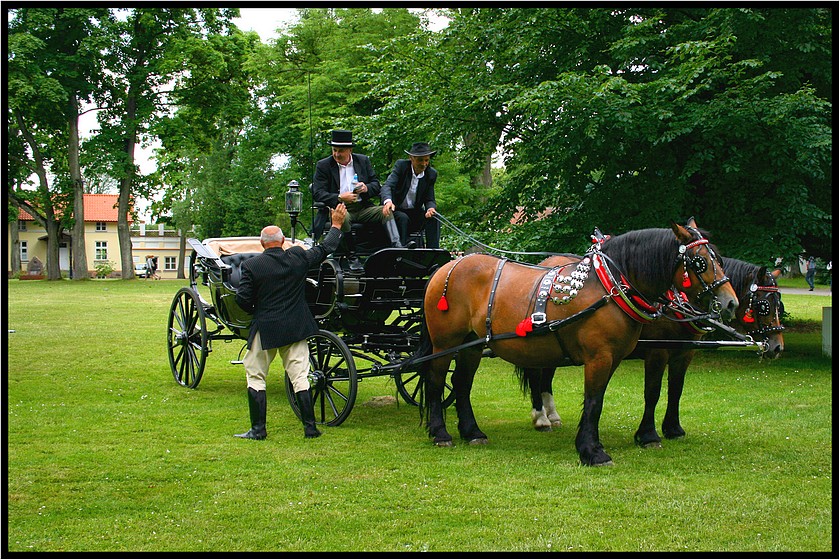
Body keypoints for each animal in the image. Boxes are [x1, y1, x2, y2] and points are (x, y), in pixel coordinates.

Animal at [416, 221, 740, 466]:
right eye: (699, 262)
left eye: (719, 258)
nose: (730, 302)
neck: (609, 287)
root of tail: (448, 267)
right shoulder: (605, 356)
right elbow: (597, 401)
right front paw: (593, 451)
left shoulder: (622, 357)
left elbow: (615, 399)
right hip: (445, 343)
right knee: (435, 381)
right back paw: (440, 433)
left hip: (471, 345)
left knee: (461, 383)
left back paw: (472, 432)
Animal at [528, 256, 784, 444]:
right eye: (763, 305)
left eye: (779, 304)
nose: (777, 346)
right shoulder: (657, 353)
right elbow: (653, 393)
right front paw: (648, 435)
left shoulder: (684, 353)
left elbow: (676, 391)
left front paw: (673, 428)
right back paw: (541, 417)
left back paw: (551, 415)